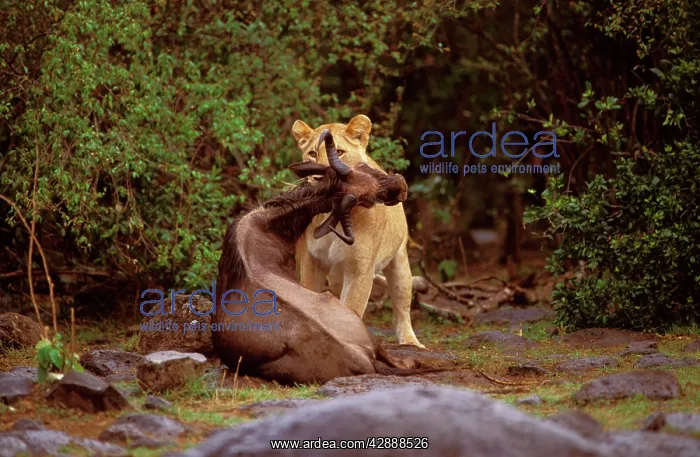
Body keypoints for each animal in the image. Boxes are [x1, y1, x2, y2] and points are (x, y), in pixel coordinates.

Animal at [291, 114, 424, 348]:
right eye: (312, 154)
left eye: (340, 152)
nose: (318, 178)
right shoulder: (312, 260)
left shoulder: (360, 268)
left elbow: (352, 308)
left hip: (400, 264)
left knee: (402, 306)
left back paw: (411, 342)